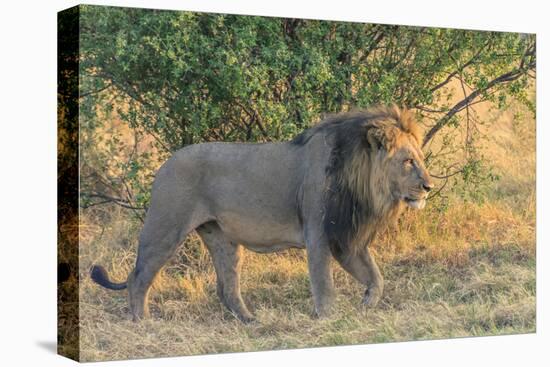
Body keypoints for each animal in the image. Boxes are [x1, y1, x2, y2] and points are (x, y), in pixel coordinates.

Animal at [91, 105, 436, 324]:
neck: (362, 182)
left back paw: (250, 321)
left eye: (420, 158)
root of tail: (164, 163)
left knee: (226, 288)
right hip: (166, 227)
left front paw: (366, 305)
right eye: (408, 161)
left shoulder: (345, 238)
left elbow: (376, 277)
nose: (428, 186)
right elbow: (323, 282)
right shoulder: (319, 232)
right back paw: (143, 323)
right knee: (138, 277)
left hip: (222, 239)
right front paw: (328, 318)